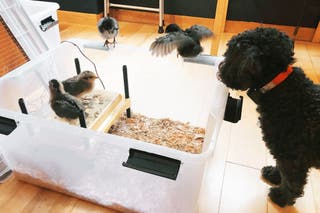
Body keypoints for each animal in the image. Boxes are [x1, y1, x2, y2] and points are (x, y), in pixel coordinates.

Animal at [218, 27, 320, 207]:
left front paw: (281, 197)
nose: (220, 68)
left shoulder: (293, 157)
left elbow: (292, 182)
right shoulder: (283, 153)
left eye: (231, 50)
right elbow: (280, 167)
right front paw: (274, 175)